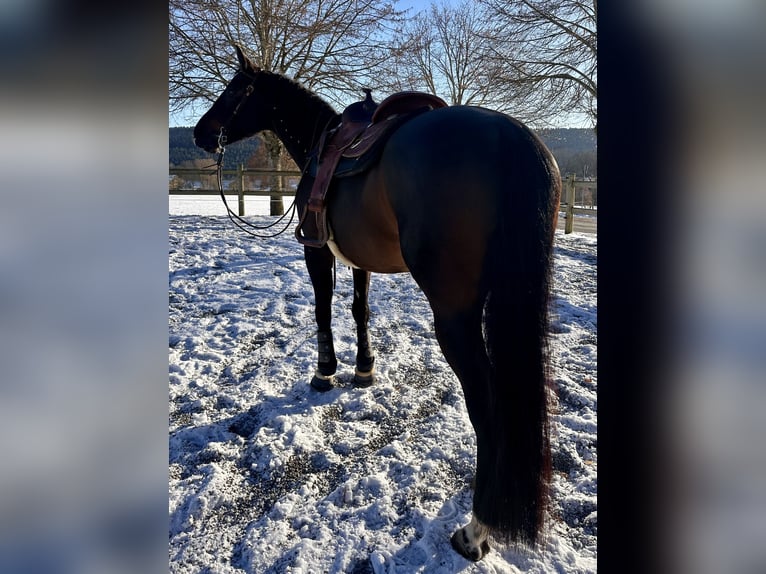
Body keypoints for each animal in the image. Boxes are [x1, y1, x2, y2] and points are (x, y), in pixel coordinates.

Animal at [193, 45, 561, 562]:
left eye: (233, 91)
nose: (200, 133)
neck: (320, 142)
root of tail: (510, 137)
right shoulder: (358, 258)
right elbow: (359, 309)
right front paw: (364, 370)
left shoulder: (317, 250)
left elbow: (323, 309)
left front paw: (325, 372)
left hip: (455, 317)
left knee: (488, 408)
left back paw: (476, 528)